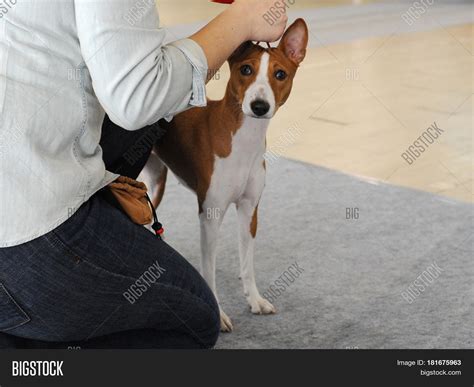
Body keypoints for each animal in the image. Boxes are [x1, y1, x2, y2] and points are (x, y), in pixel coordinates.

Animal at [140, 19, 312, 332]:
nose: (259, 106)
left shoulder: (249, 209)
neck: (243, 142)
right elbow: (209, 273)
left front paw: (255, 299)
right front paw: (219, 315)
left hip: (154, 182)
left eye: (280, 74)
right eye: (246, 69)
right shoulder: (210, 214)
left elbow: (248, 263)